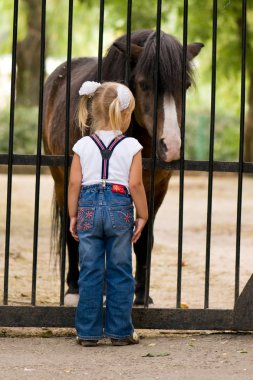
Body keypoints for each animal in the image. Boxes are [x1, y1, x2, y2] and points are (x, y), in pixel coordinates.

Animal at [42, 29, 203, 306]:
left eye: (186, 86)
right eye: (145, 84)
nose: (170, 147)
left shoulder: (157, 188)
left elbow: (144, 239)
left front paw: (142, 294)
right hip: (61, 178)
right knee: (70, 230)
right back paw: (74, 287)